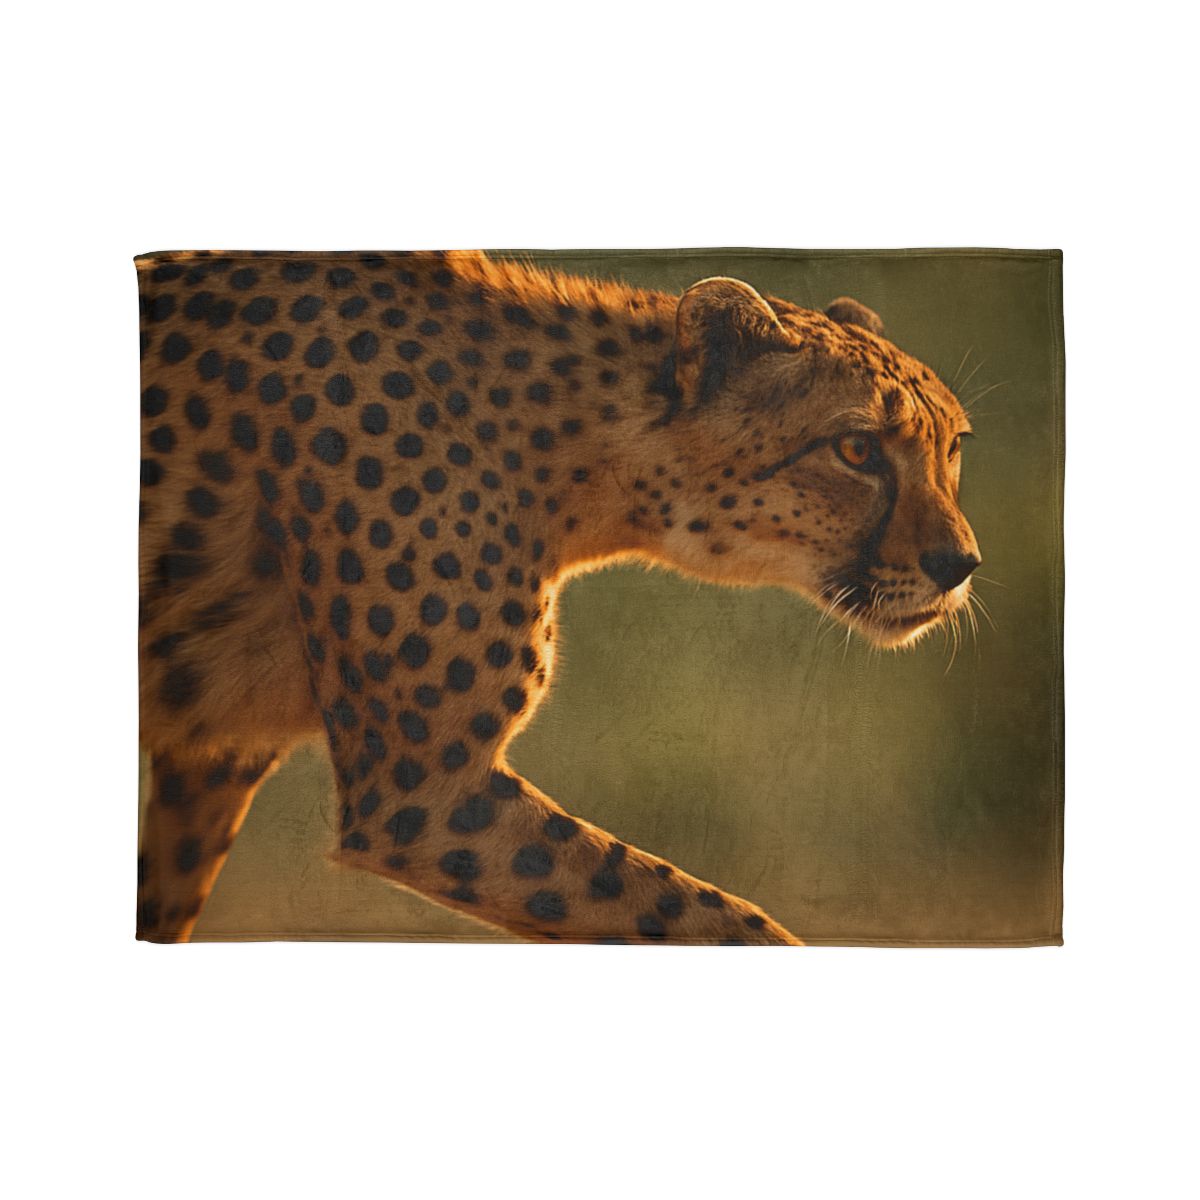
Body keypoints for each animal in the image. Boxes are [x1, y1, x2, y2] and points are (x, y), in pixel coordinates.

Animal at [136, 249, 979, 945]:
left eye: (953, 447)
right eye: (856, 449)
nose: (960, 564)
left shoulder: (214, 755)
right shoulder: (426, 797)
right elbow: (716, 917)